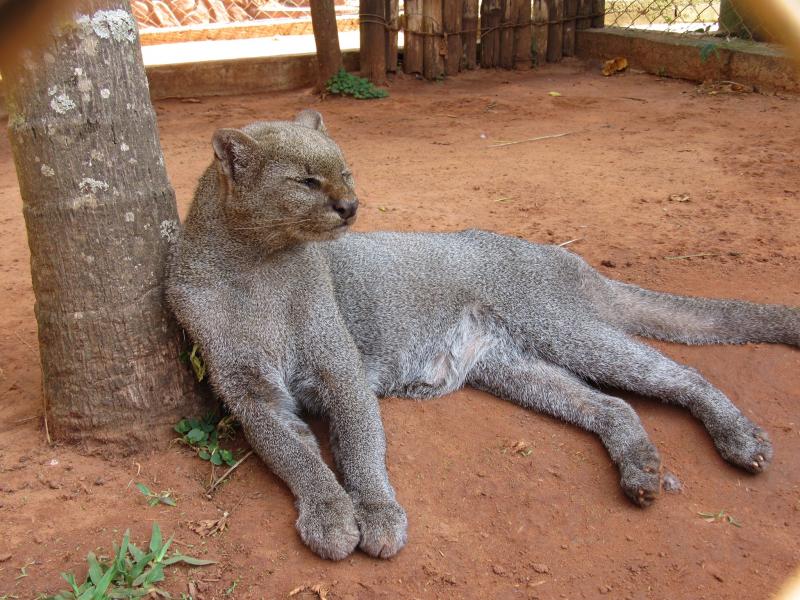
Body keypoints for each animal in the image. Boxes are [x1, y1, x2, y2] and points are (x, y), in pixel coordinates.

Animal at [166, 109, 796, 564]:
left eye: (348, 173)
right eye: (306, 180)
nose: (350, 205)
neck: (256, 271)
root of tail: (565, 257)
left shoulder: (337, 367)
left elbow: (361, 447)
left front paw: (377, 514)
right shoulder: (251, 391)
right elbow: (296, 456)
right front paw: (330, 514)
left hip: (564, 330)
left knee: (682, 373)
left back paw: (741, 440)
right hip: (518, 368)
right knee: (611, 405)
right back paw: (641, 472)